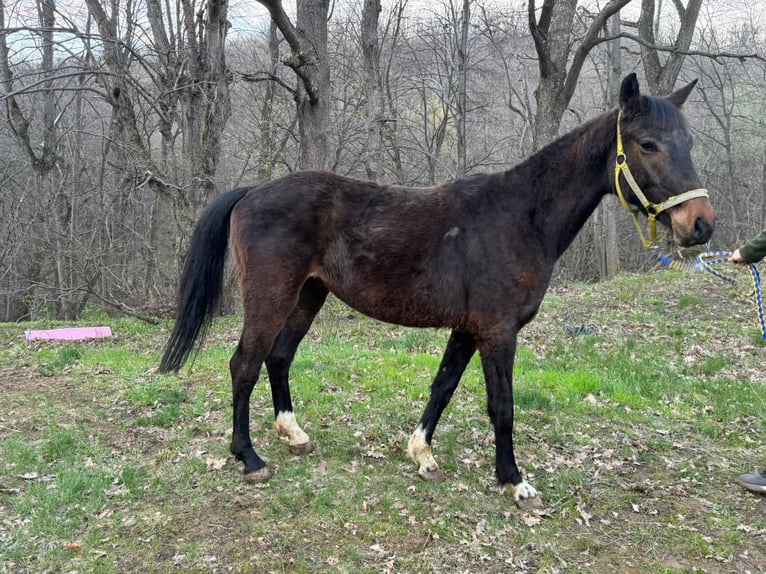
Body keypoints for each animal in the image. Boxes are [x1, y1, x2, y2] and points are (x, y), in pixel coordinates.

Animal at [159, 74, 715, 508]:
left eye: (689, 141)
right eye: (647, 143)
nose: (700, 224)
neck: (520, 217)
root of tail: (252, 192)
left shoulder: (468, 329)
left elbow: (442, 387)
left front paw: (421, 453)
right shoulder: (498, 332)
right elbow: (502, 405)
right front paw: (513, 481)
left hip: (308, 296)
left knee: (278, 357)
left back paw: (293, 434)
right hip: (271, 299)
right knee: (244, 364)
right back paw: (249, 458)